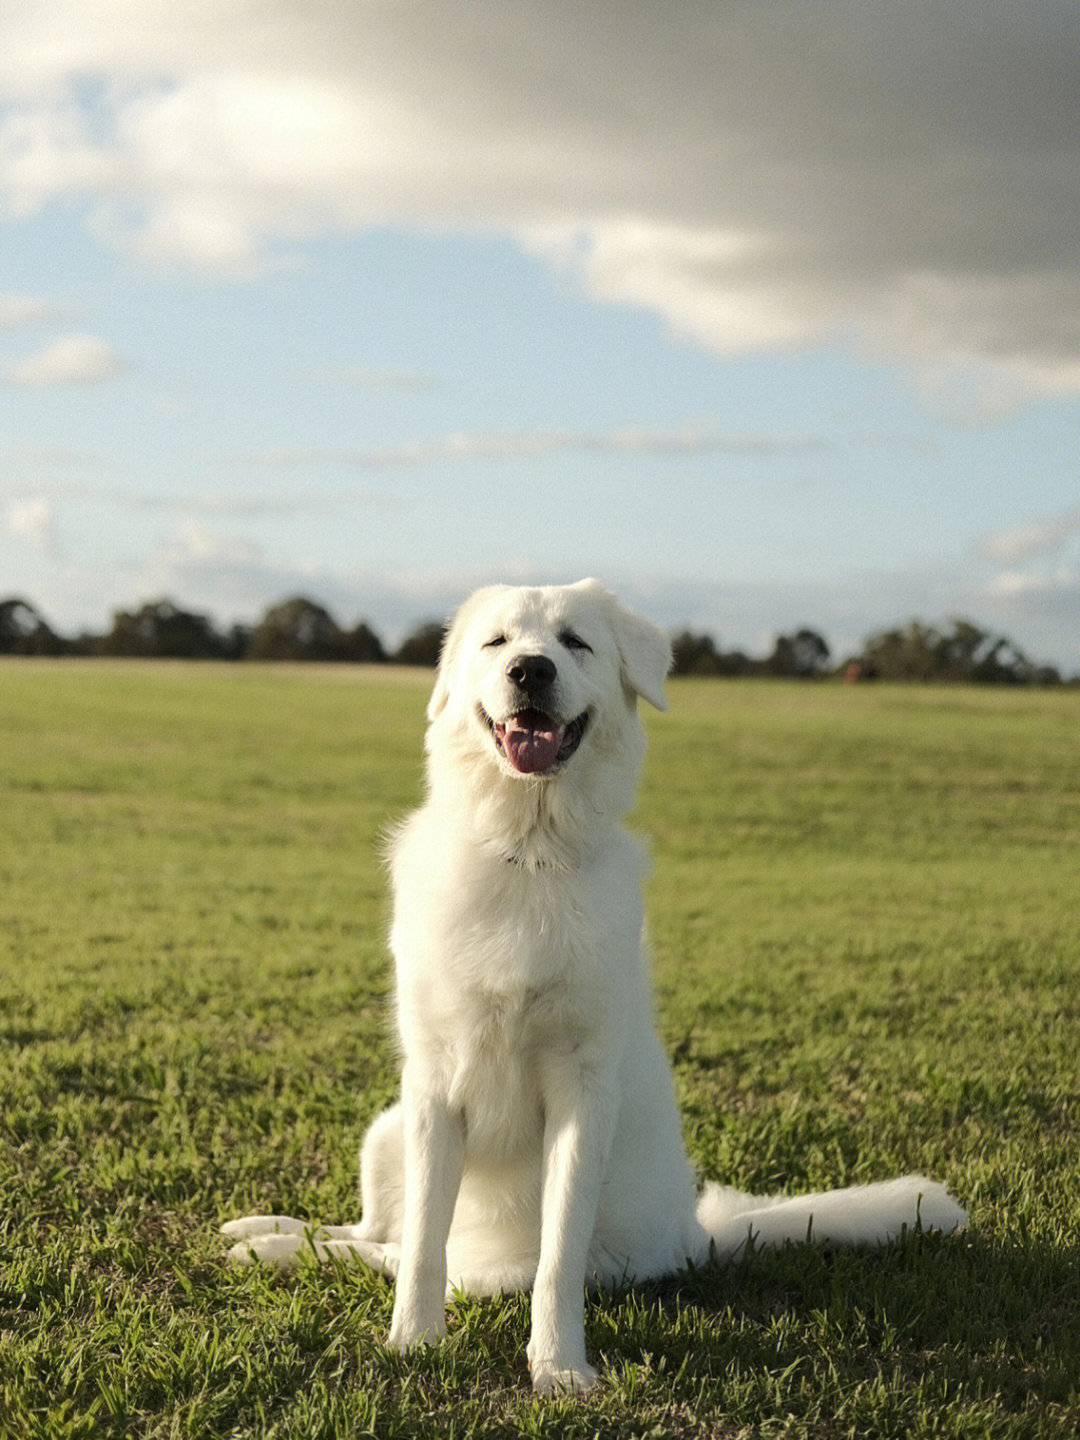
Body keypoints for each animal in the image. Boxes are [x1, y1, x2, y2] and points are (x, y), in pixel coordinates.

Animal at [224, 576, 967, 1393]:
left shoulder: (579, 1095)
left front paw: (557, 1369)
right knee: (379, 1232)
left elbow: (552, 1259)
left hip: (486, 1252)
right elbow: (421, 1244)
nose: (530, 671)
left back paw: (270, 1248)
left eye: (574, 642)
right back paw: (268, 1233)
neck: (527, 852)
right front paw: (415, 1343)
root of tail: (697, 1234)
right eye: (497, 642)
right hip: (388, 1130)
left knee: (391, 1250)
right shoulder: (433, 1084)